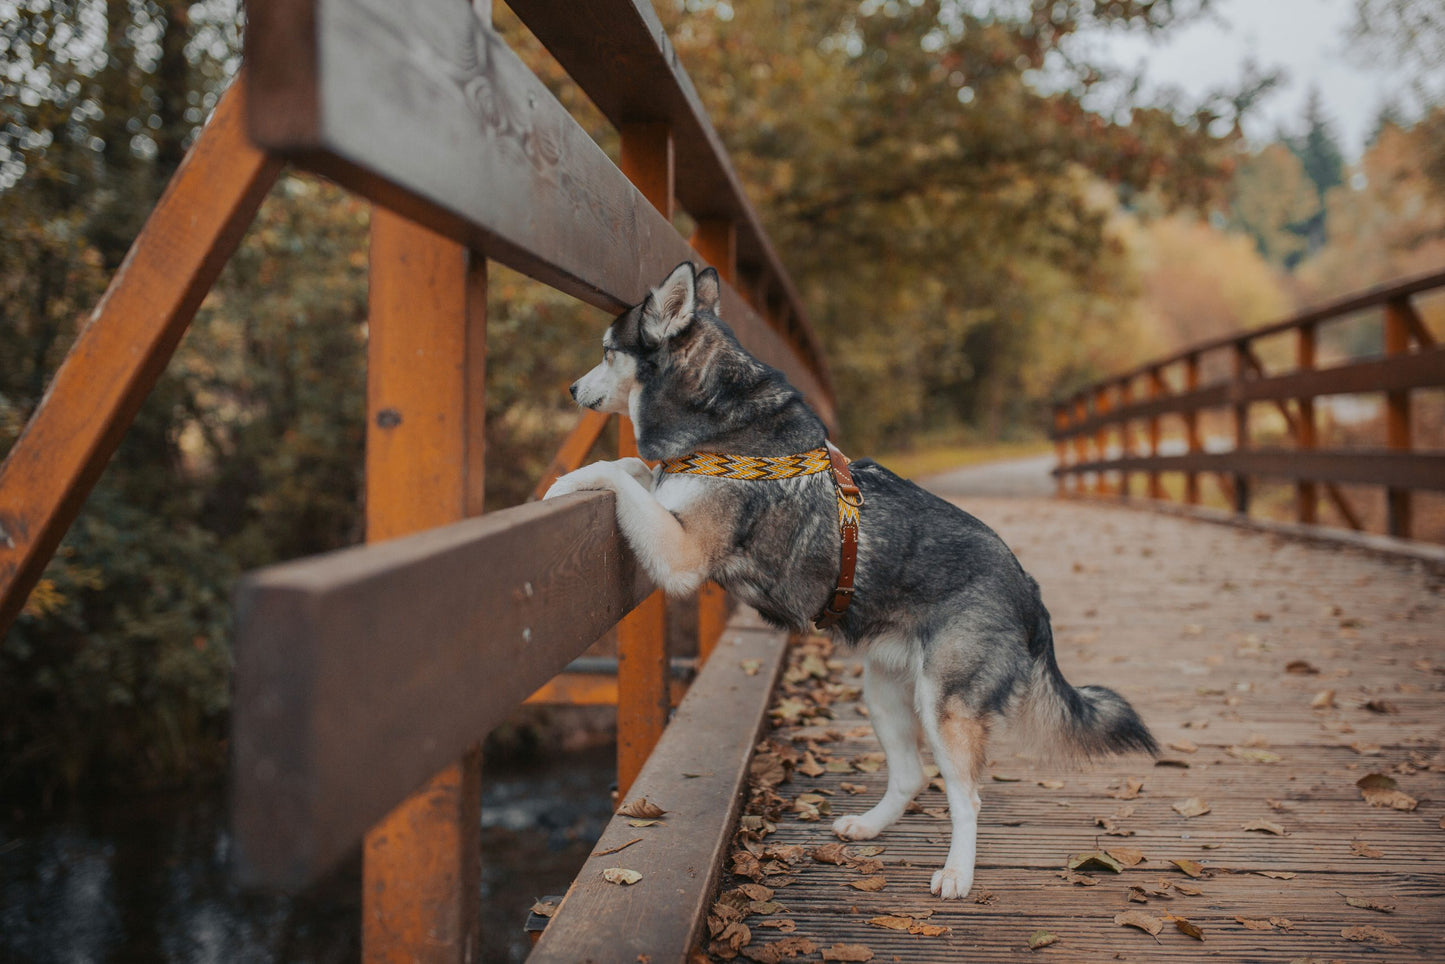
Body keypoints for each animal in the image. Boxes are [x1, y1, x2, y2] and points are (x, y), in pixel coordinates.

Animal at [546, 261, 1156, 896]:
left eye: (607, 351)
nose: (569, 390)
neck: (718, 418)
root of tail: (1029, 588)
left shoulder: (682, 553)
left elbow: (619, 475)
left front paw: (564, 482)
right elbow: (632, 468)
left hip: (945, 707)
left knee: (966, 797)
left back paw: (956, 873)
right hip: (886, 692)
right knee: (911, 777)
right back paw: (868, 826)